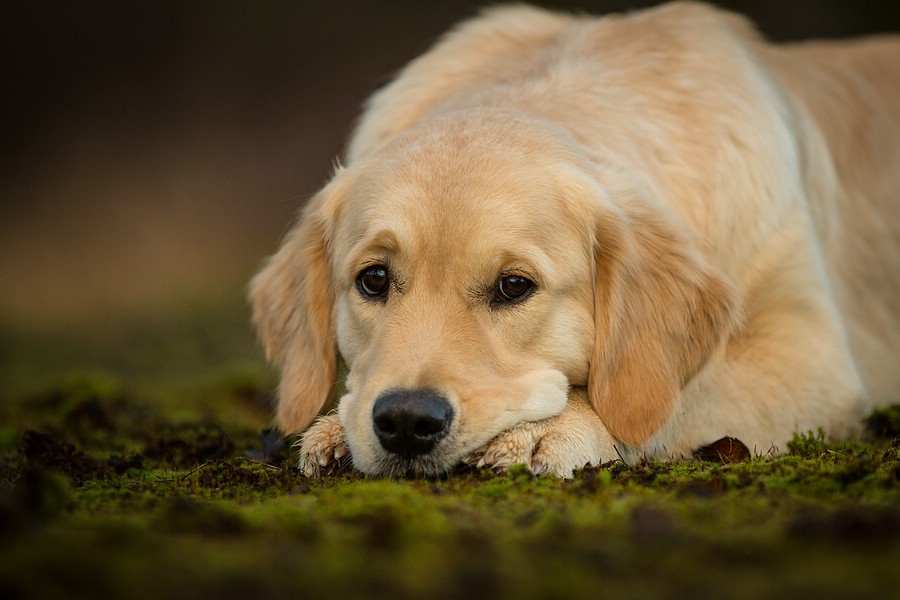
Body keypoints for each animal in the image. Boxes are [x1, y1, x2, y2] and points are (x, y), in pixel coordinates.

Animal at [248, 2, 900, 476]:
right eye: (374, 279)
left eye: (514, 286)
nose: (407, 421)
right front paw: (333, 427)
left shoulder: (813, 360)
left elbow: (672, 399)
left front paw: (554, 429)